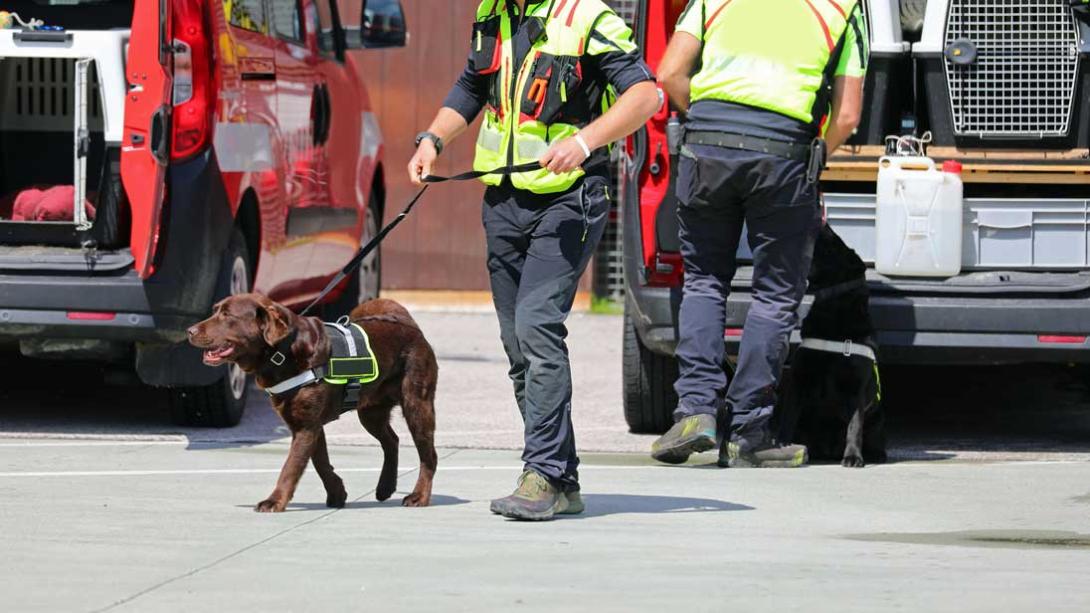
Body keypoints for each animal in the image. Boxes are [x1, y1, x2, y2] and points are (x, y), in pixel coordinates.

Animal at [188, 294, 438, 510]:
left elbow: (291, 466)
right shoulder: (308, 425)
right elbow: (320, 463)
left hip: (417, 404)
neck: (281, 353)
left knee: (428, 456)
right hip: (370, 411)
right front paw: (337, 493)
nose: (189, 331)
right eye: (215, 311)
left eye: (227, 315)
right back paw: (385, 487)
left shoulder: (307, 426)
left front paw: (274, 501)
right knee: (391, 441)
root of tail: (412, 327)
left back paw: (419, 496)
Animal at [776, 221, 885, 464]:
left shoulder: (856, 389)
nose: (824, 221)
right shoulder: (799, 380)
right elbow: (787, 418)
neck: (835, 310)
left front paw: (853, 456)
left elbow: (854, 426)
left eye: (832, 243)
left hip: (876, 422)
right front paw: (780, 444)